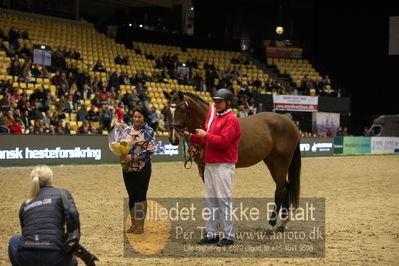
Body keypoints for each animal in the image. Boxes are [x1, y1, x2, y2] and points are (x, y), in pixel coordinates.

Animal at [162, 90, 300, 233]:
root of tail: (289, 120)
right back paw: (283, 223)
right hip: (271, 161)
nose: (173, 138)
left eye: (183, 110)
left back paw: (271, 225)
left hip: (281, 162)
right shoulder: (203, 168)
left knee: (280, 189)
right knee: (285, 186)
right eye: (166, 111)